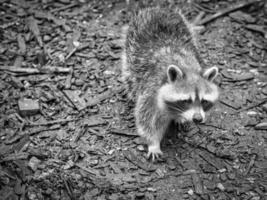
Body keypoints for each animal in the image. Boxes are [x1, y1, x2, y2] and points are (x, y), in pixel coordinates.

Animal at [121, 8, 220, 161]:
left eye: (204, 101)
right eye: (186, 100)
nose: (197, 119)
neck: (187, 68)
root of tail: (158, 8)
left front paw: (180, 118)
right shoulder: (151, 93)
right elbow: (146, 121)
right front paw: (153, 143)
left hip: (187, 29)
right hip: (131, 44)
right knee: (130, 75)